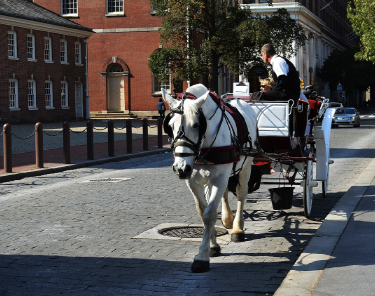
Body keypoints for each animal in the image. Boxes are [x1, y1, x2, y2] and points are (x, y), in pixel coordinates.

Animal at [162, 83, 258, 272]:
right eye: (169, 125)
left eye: (196, 124)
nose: (180, 168)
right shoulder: (193, 181)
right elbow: (203, 211)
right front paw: (213, 246)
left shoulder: (220, 177)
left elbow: (210, 214)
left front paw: (202, 256)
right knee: (225, 194)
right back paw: (228, 219)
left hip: (246, 167)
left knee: (241, 194)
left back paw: (237, 228)